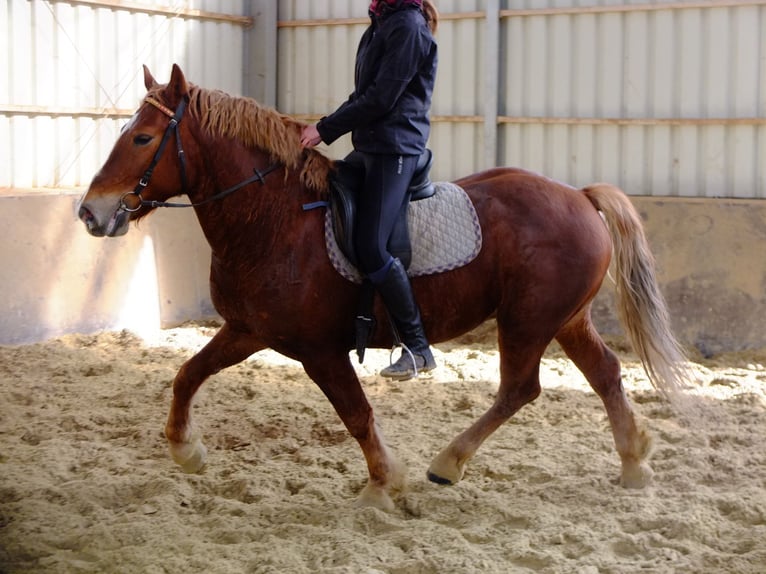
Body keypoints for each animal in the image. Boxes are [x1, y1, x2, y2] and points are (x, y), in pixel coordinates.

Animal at [78, 65, 688, 510]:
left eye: (143, 138)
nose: (90, 213)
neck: (274, 219)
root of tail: (579, 196)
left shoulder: (319, 350)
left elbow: (356, 414)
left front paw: (381, 485)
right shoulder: (248, 330)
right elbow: (187, 374)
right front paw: (187, 452)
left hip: (528, 320)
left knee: (521, 388)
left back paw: (448, 462)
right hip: (563, 318)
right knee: (603, 373)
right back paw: (634, 462)